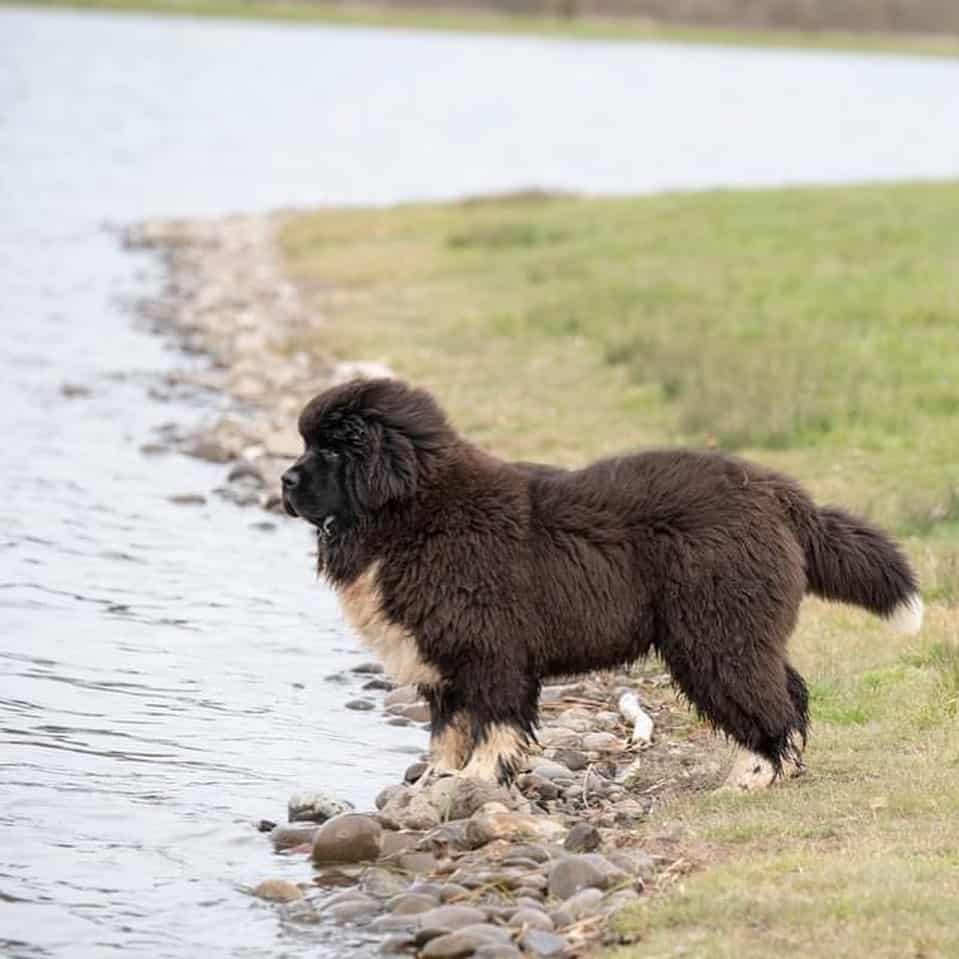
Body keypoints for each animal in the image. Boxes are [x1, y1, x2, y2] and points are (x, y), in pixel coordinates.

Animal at [282, 378, 928, 784]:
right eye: (308, 444)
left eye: (334, 451)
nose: (286, 482)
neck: (415, 513)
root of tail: (776, 491)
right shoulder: (444, 660)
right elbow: (450, 728)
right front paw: (437, 779)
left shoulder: (489, 649)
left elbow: (493, 723)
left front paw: (478, 780)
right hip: (741, 626)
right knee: (789, 690)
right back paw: (781, 769)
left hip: (713, 631)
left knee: (766, 701)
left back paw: (752, 777)